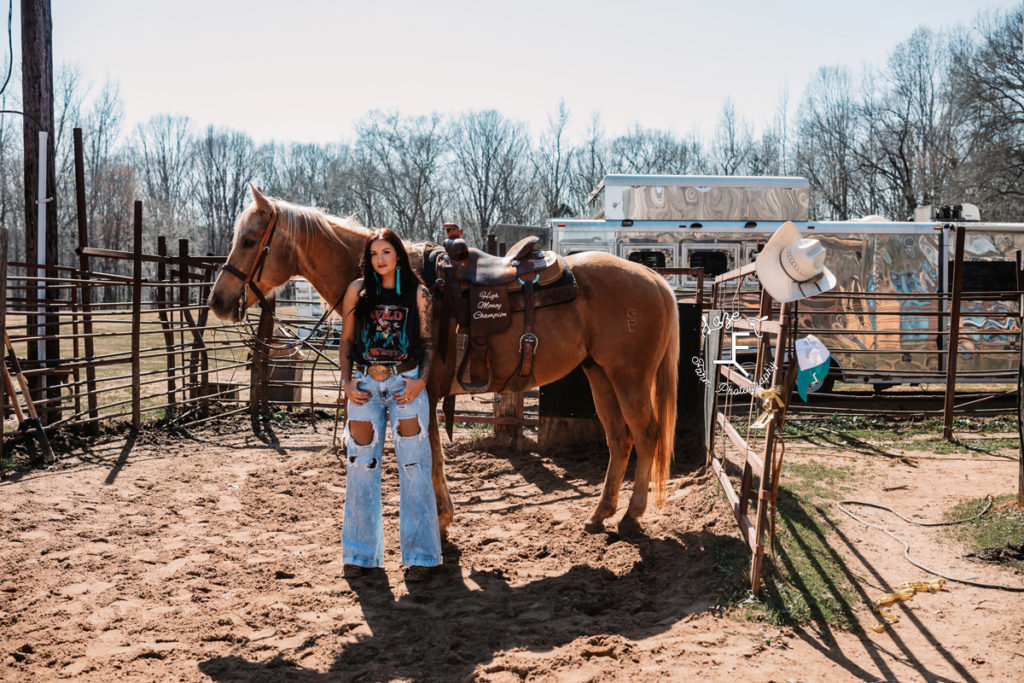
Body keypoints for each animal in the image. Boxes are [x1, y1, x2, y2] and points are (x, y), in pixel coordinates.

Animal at [207, 187, 679, 540]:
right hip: (600, 375)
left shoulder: (424, 393)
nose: (218, 301)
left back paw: (631, 516)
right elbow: (431, 453)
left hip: (629, 378)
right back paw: (600, 515)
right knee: (620, 439)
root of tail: (655, 280)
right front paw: (442, 518)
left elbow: (430, 454)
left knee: (646, 434)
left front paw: (440, 521)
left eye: (248, 241)